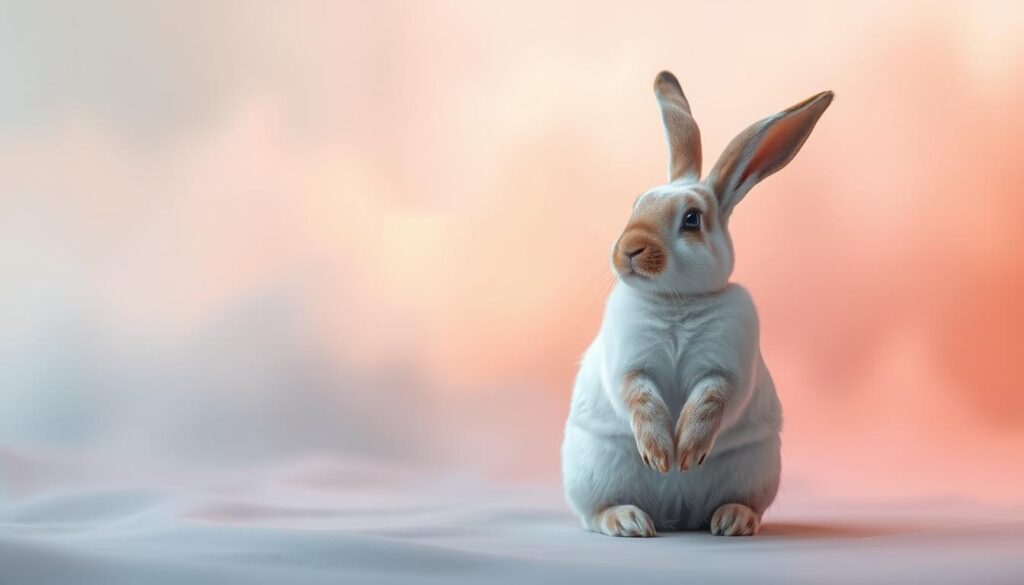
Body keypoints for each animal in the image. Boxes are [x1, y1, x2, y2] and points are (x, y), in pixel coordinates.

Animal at [561, 71, 832, 537]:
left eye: (691, 219)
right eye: (636, 204)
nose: (629, 249)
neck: (678, 302)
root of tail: (676, 514)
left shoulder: (727, 368)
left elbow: (711, 400)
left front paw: (684, 453)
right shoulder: (630, 366)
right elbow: (640, 398)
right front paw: (659, 454)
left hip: (757, 470)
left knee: (737, 505)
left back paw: (732, 520)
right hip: (591, 473)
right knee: (593, 513)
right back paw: (630, 521)